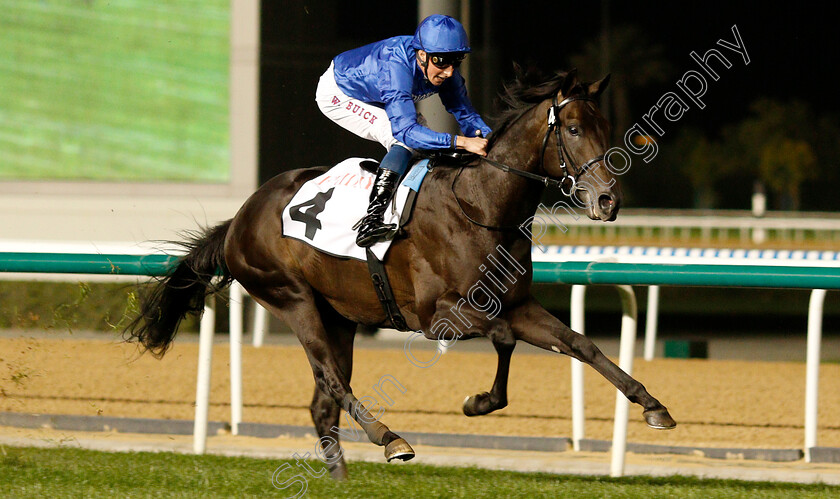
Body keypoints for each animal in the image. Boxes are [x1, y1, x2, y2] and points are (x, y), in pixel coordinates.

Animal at [126, 69, 676, 480]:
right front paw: (477, 401)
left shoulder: (518, 303)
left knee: (323, 403)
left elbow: (580, 345)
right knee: (331, 381)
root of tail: (240, 217)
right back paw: (390, 439)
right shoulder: (437, 317)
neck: (480, 206)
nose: (607, 201)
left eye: (606, 127)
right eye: (575, 130)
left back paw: (343, 479)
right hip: (291, 298)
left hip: (340, 316)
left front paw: (652, 404)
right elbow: (501, 336)